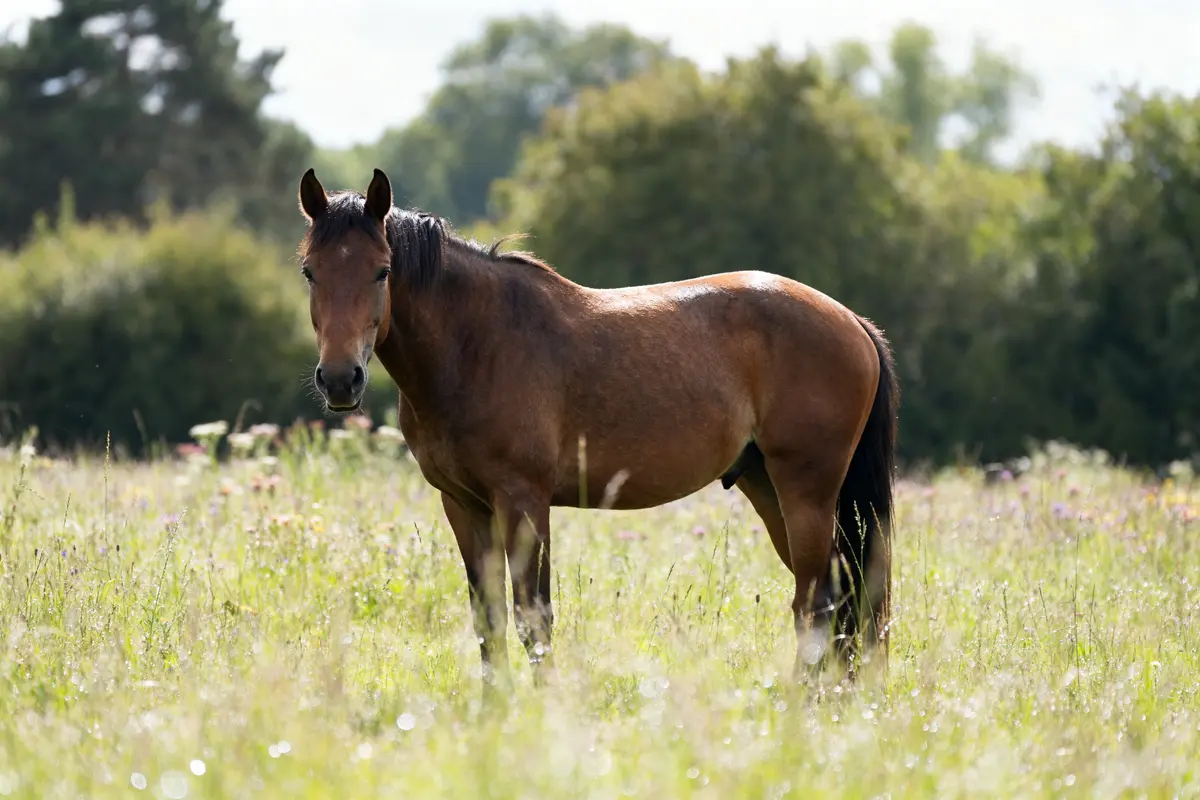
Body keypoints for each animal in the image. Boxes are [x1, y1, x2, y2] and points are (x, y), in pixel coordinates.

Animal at [294, 167, 899, 690]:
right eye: (309, 271)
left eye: (382, 270)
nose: (340, 379)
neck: (477, 344)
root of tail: (853, 322)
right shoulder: (464, 505)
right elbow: (489, 618)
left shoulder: (523, 500)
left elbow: (533, 615)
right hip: (768, 487)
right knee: (840, 596)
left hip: (806, 490)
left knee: (819, 603)